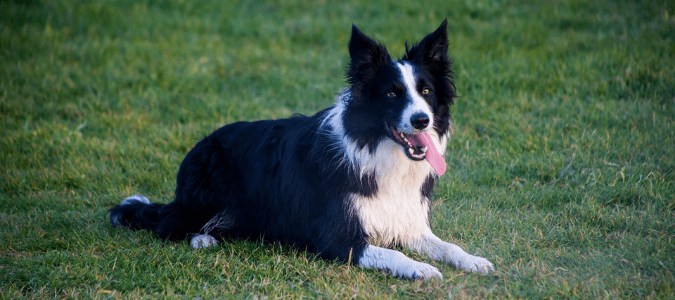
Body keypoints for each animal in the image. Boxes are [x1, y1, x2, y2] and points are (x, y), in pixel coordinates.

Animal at [108, 20, 494, 278]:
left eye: (426, 91)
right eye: (391, 93)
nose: (421, 121)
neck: (375, 150)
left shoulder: (410, 225)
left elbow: (448, 246)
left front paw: (473, 260)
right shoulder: (339, 239)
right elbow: (395, 256)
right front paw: (421, 269)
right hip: (209, 180)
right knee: (166, 223)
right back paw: (201, 239)